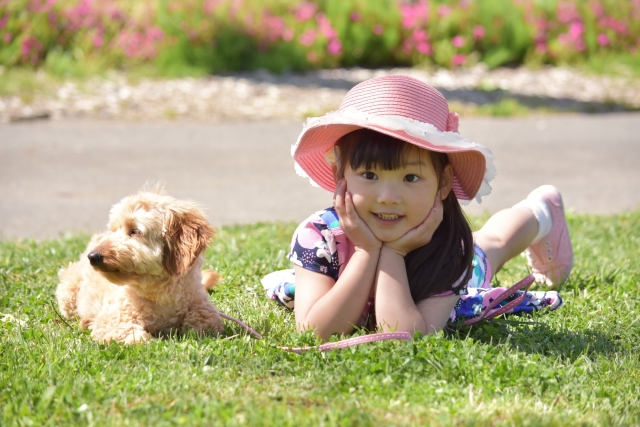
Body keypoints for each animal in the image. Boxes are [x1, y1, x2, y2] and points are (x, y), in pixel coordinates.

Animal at [55, 189, 225, 346]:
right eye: (114, 230)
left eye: (135, 231)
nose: (93, 256)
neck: (159, 294)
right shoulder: (112, 321)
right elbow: (138, 339)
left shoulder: (204, 311)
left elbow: (205, 324)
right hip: (68, 292)